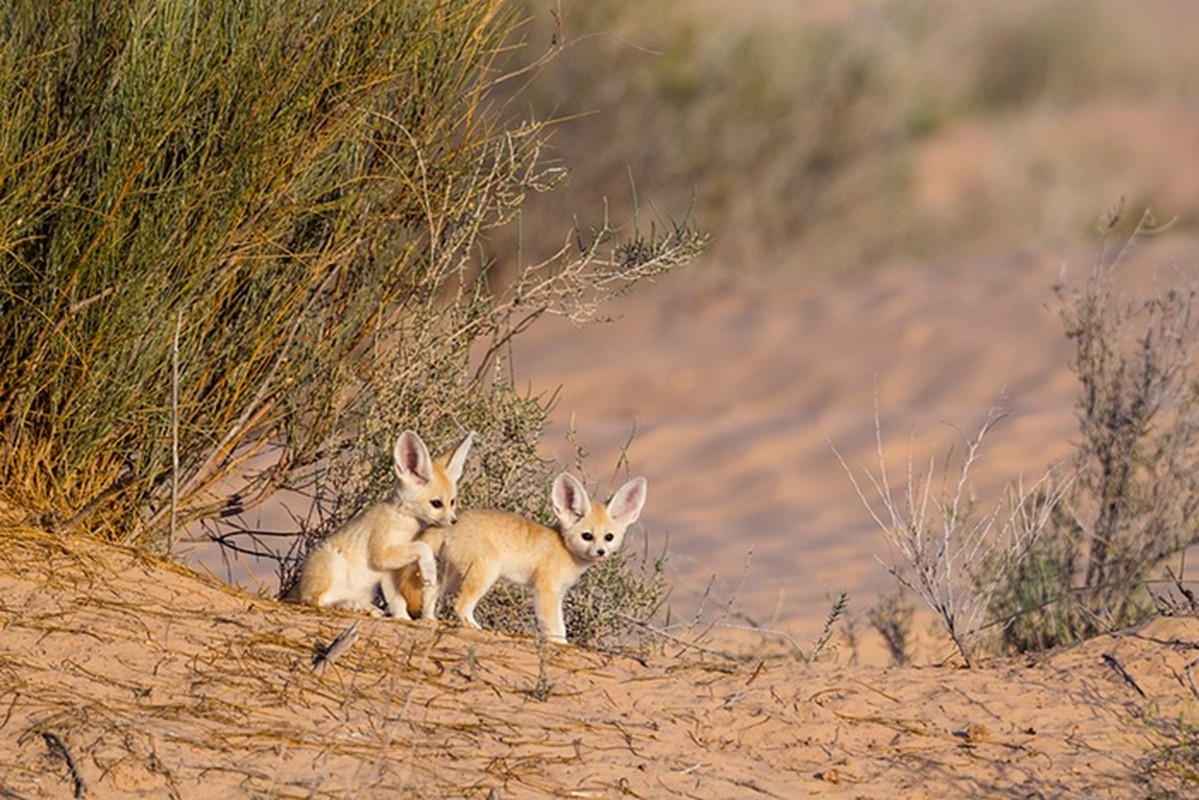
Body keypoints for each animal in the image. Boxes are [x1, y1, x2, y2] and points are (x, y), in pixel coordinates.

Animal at [294, 429, 472, 623]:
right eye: (437, 504)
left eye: (452, 502)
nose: (454, 521)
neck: (402, 517)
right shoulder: (381, 554)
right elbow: (422, 547)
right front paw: (429, 570)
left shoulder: (389, 571)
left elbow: (397, 600)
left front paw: (403, 618)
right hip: (331, 566)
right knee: (317, 600)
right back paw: (350, 605)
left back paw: (366, 608)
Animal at [400, 474, 647, 642]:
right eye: (587, 536)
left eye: (608, 537)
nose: (601, 552)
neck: (564, 547)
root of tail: (451, 521)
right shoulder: (546, 590)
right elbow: (555, 628)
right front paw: (561, 645)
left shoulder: (558, 593)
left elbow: (560, 626)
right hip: (484, 575)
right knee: (460, 606)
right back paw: (477, 630)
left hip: (455, 576)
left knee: (431, 592)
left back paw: (429, 620)